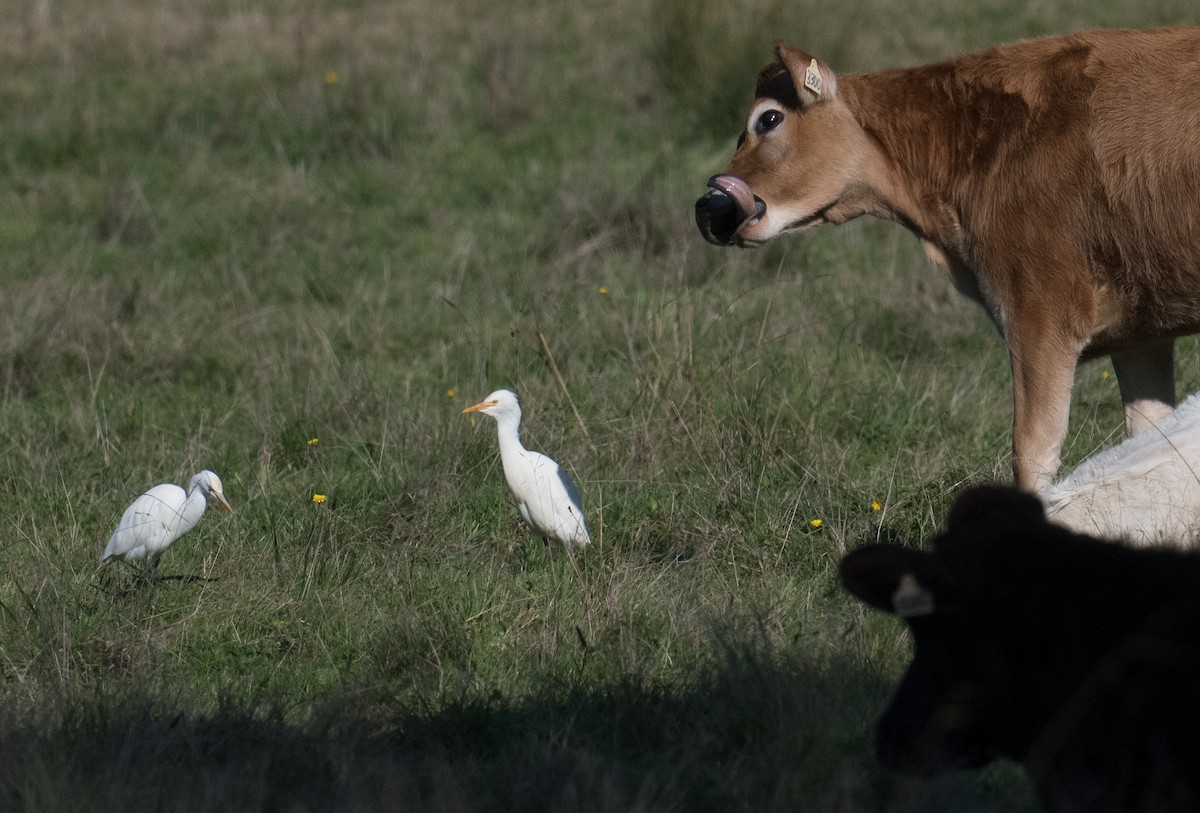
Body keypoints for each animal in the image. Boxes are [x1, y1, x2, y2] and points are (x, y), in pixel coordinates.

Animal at [700, 30, 1200, 491]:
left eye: (768, 119)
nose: (712, 208)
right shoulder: (1139, 333)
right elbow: (1147, 439)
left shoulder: (1040, 312)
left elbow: (1032, 453)